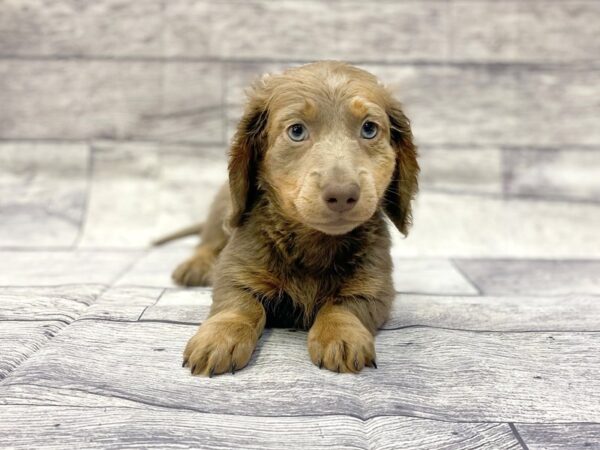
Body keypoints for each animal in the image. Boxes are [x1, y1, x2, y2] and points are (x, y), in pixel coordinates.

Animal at [166, 60, 420, 376]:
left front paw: (341, 334)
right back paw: (196, 265)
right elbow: (240, 304)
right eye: (297, 131)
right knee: (207, 242)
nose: (342, 195)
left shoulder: (375, 285)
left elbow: (344, 305)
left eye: (369, 129)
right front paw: (220, 336)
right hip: (221, 210)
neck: (314, 240)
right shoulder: (235, 268)